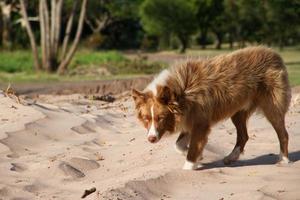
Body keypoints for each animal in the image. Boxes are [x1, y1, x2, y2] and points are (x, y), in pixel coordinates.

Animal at [131, 47, 290, 170]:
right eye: (146, 118)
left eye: (161, 118)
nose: (151, 139)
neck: (181, 93)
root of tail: (274, 54)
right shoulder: (190, 118)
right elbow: (178, 145)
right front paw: (199, 156)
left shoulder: (200, 122)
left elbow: (193, 148)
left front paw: (189, 165)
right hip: (238, 111)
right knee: (243, 136)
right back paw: (231, 157)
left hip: (271, 106)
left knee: (283, 133)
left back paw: (283, 160)